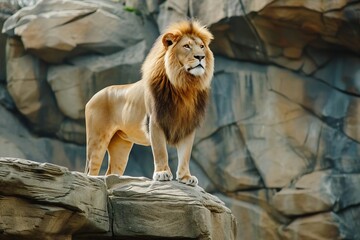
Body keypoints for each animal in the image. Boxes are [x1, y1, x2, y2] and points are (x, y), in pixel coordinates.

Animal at [84, 20, 214, 186]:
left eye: (202, 46)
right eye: (186, 46)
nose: (201, 57)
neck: (184, 86)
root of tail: (93, 96)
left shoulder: (188, 125)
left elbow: (185, 154)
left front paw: (185, 177)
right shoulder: (155, 121)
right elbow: (160, 151)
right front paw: (162, 173)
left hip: (121, 144)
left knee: (111, 172)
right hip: (97, 139)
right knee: (90, 170)